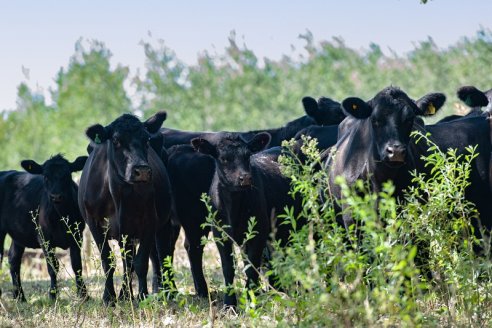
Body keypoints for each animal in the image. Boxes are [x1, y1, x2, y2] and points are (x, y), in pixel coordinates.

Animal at [78, 111, 174, 304]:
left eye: (146, 139)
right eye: (116, 140)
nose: (142, 170)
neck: (117, 196)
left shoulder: (149, 222)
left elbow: (140, 262)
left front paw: (142, 295)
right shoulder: (94, 223)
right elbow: (108, 261)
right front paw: (109, 297)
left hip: (161, 223)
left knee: (160, 254)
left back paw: (164, 292)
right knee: (127, 261)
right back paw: (125, 294)